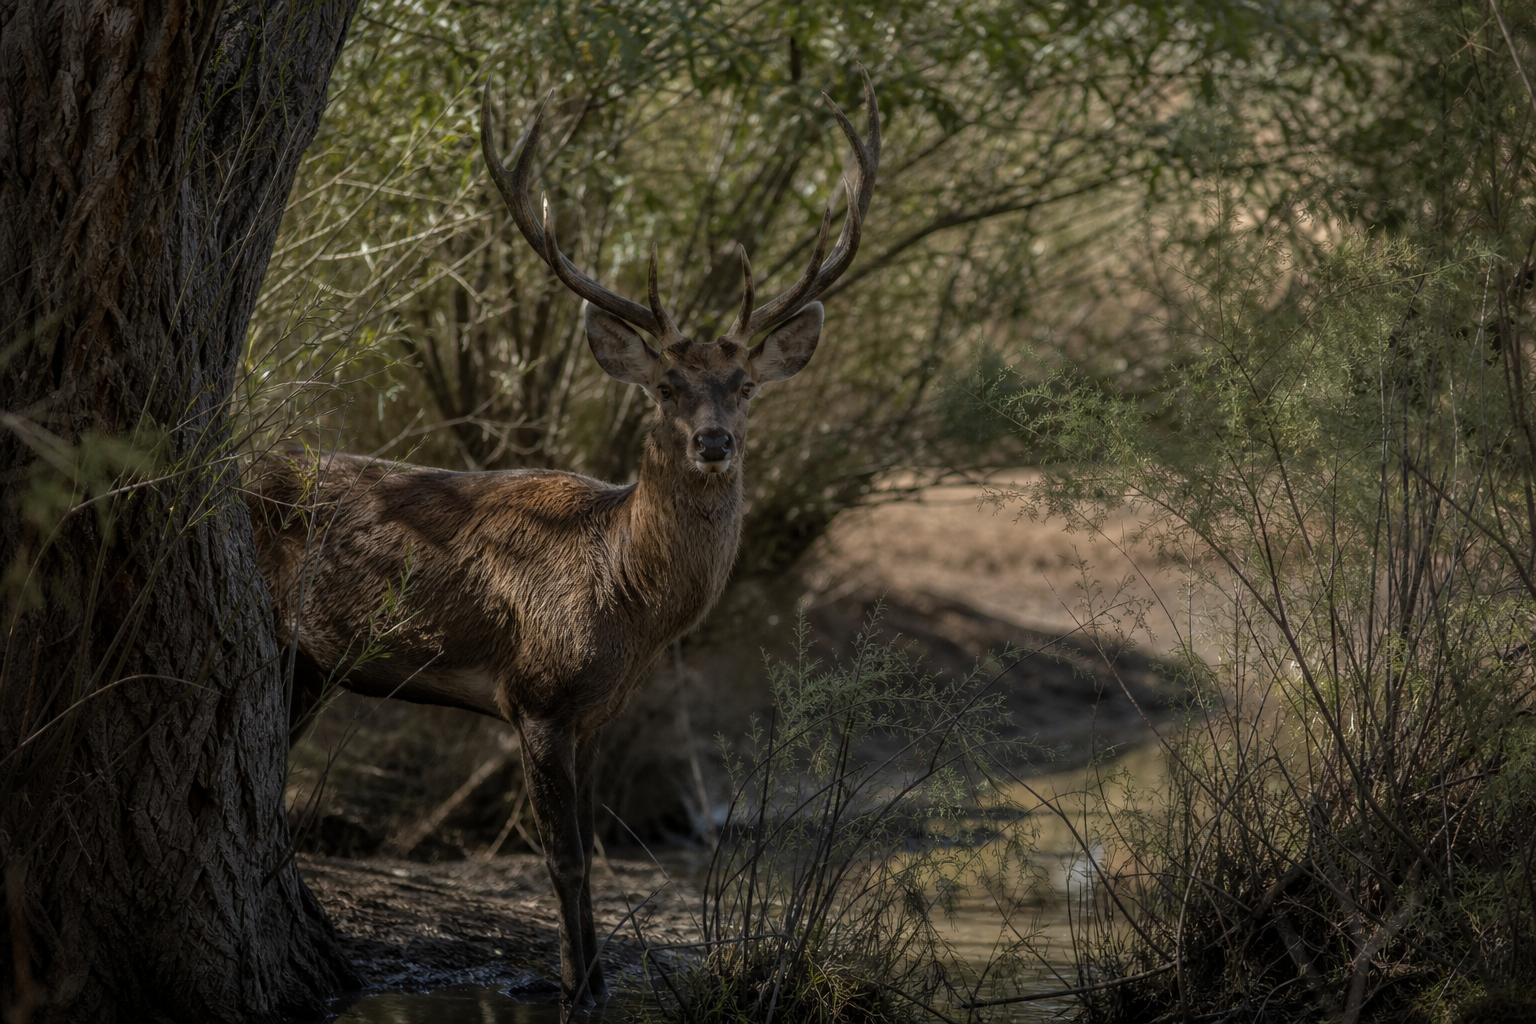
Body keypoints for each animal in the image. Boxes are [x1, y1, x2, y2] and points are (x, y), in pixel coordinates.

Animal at [245, 72, 879, 1007]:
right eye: (665, 385)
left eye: (745, 385)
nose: (713, 442)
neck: (621, 594)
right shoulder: (536, 693)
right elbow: (567, 857)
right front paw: (577, 985)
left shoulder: (592, 714)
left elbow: (590, 856)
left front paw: (600, 980)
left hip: (314, 662)